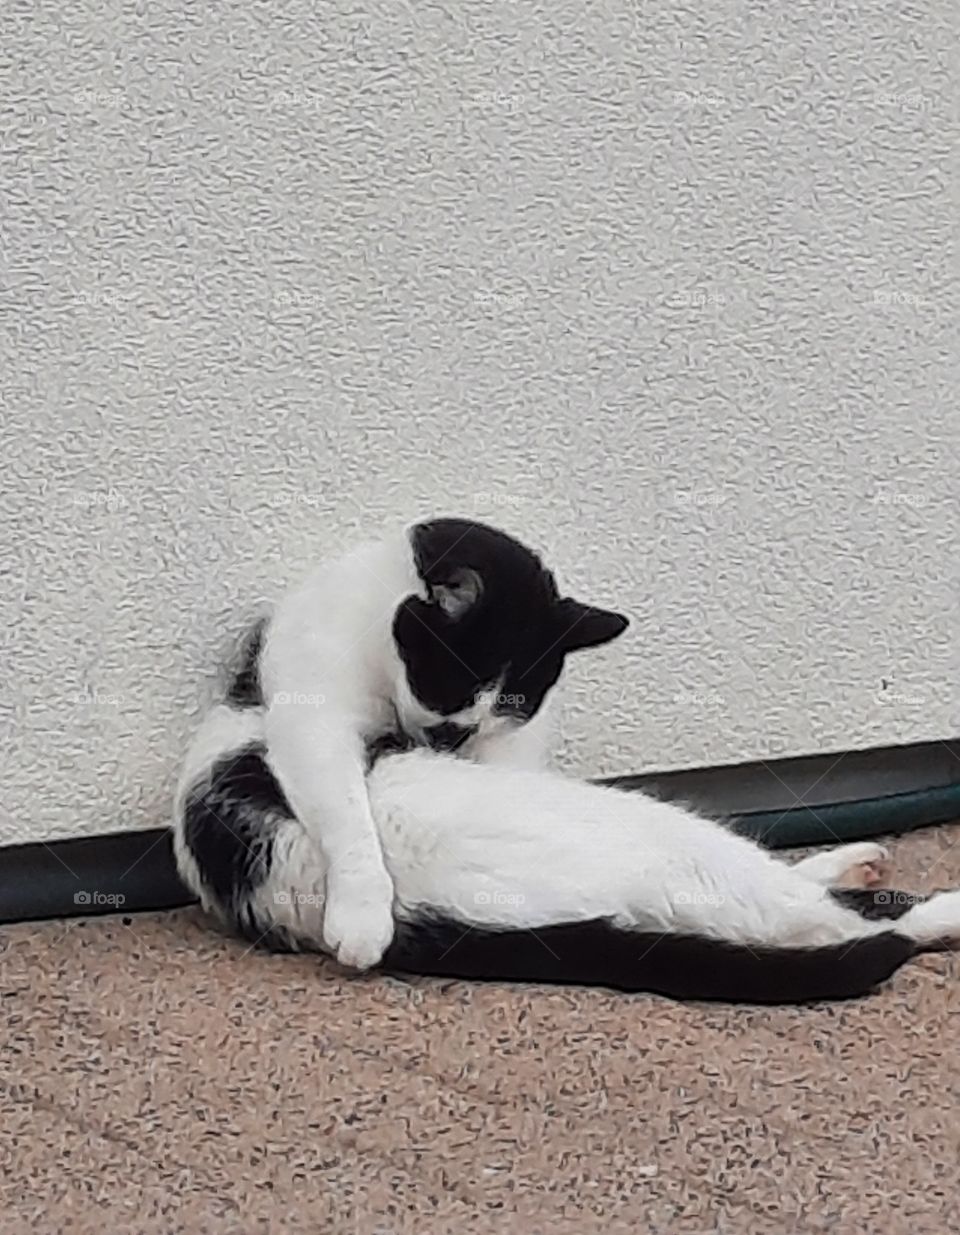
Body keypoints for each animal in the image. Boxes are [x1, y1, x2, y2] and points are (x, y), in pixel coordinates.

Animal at [177, 516, 630, 968]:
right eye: (450, 691)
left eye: (512, 707)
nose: (451, 742)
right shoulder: (313, 720)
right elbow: (346, 812)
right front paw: (361, 919)